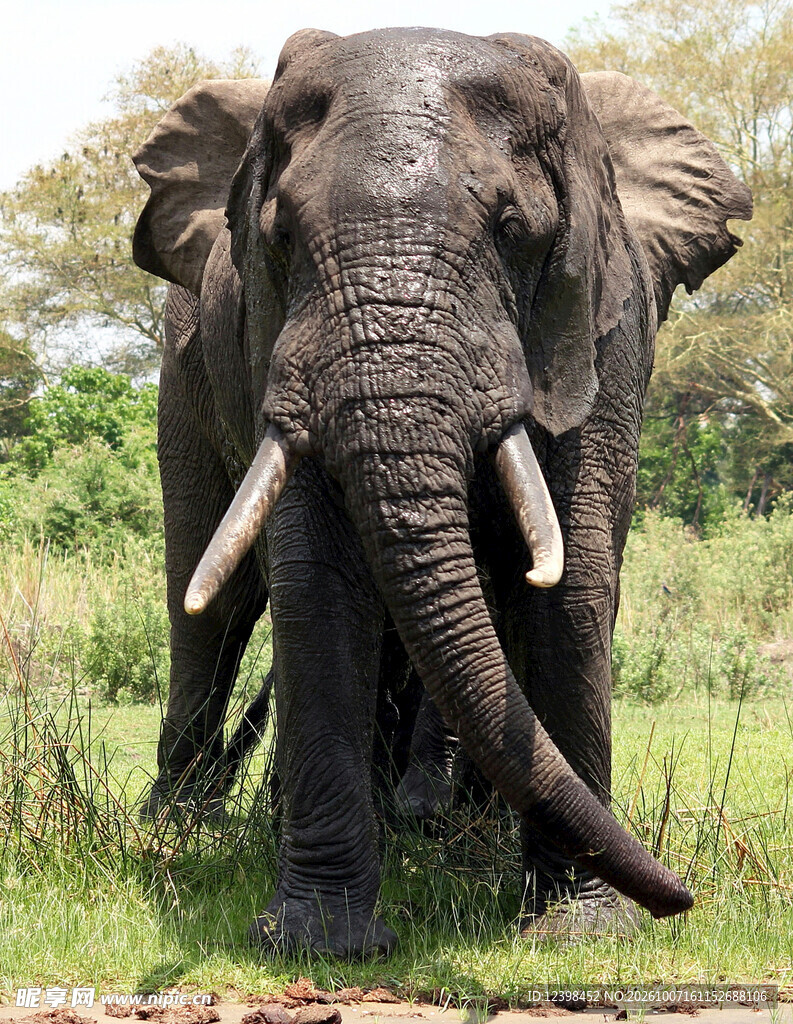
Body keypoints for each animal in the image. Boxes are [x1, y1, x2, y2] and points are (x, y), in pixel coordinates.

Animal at [131, 26, 751, 956]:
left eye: (511, 229)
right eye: (281, 234)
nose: (679, 898)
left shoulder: (600, 331)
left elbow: (569, 581)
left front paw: (574, 932)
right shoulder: (273, 345)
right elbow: (316, 581)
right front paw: (323, 943)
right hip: (187, 370)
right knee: (208, 606)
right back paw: (174, 833)